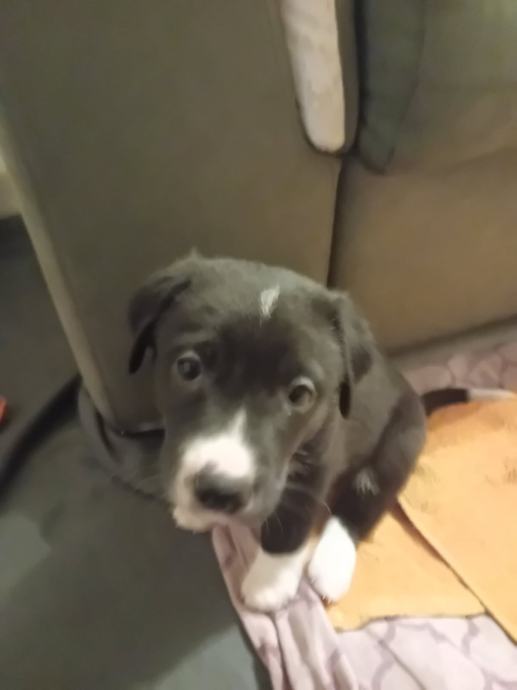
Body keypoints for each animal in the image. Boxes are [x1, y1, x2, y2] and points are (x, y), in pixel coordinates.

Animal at [127, 253, 429, 612]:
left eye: (300, 394)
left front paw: (269, 582)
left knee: (358, 507)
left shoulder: (319, 460)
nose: (219, 493)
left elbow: (291, 522)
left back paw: (331, 566)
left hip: (397, 448)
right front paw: (198, 514)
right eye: (188, 368)